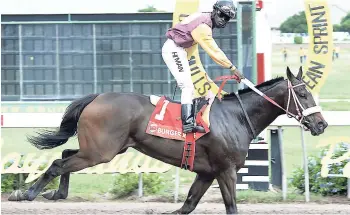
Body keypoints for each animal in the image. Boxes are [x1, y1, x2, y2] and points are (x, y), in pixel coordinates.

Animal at [10, 67, 328, 213]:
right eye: (303, 93)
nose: (322, 124)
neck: (236, 117)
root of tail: (97, 97)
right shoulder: (225, 170)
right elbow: (231, 206)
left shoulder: (206, 172)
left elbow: (187, 205)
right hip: (100, 152)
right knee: (57, 163)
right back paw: (26, 194)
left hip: (102, 148)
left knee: (64, 157)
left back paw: (55, 194)